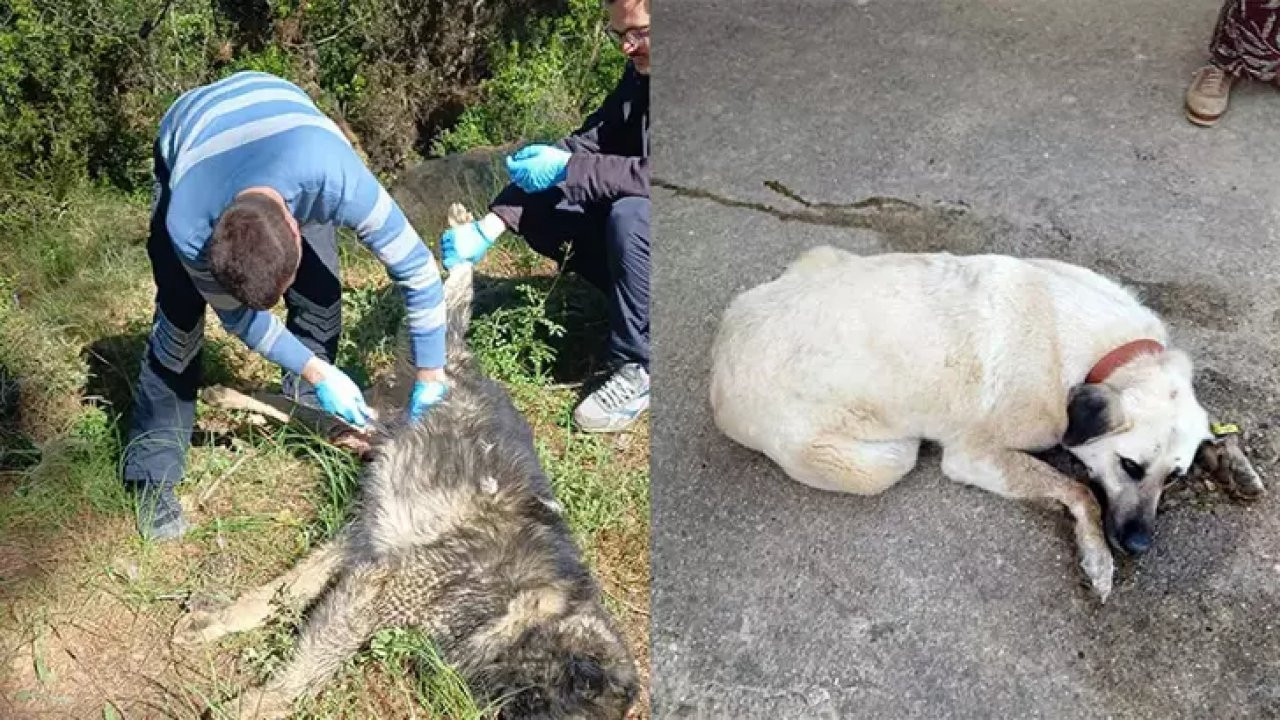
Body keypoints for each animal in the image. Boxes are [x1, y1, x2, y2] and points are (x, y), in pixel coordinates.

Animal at [176, 224, 640, 712]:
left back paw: (229, 397)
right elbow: (308, 672)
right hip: (409, 364)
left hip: (359, 428)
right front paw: (253, 704)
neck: (535, 602)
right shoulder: (381, 586)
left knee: (301, 410)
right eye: (548, 704)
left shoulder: (362, 545)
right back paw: (462, 256)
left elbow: (283, 592)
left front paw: (218, 623)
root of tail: (469, 366)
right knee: (446, 301)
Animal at [716, 244, 1264, 599]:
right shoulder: (974, 456)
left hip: (826, 253)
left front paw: (1233, 462)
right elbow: (1078, 490)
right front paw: (1097, 558)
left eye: (1174, 478)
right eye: (1130, 466)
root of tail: (720, 356)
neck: (1110, 354)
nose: (1139, 546)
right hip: (882, 462)